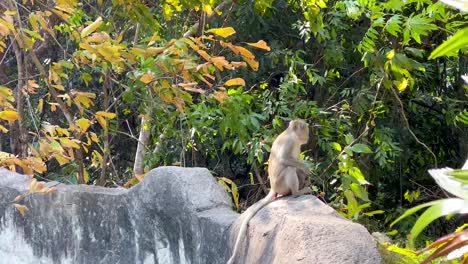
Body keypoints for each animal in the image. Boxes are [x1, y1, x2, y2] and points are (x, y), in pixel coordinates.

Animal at [227, 119, 310, 264]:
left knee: (294, 169)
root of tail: (273, 188)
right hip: (280, 184)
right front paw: (306, 167)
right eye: (305, 129)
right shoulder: (290, 142)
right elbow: (284, 159)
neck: (292, 134)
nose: (308, 136)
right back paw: (297, 192)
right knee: (290, 169)